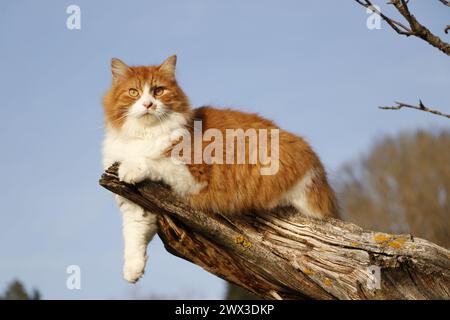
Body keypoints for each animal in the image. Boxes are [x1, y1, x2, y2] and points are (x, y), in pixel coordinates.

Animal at [102, 55, 338, 282]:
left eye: (158, 91)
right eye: (133, 92)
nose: (148, 105)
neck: (144, 134)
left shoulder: (194, 174)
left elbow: (153, 161)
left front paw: (131, 167)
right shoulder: (135, 204)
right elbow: (134, 236)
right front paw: (132, 271)